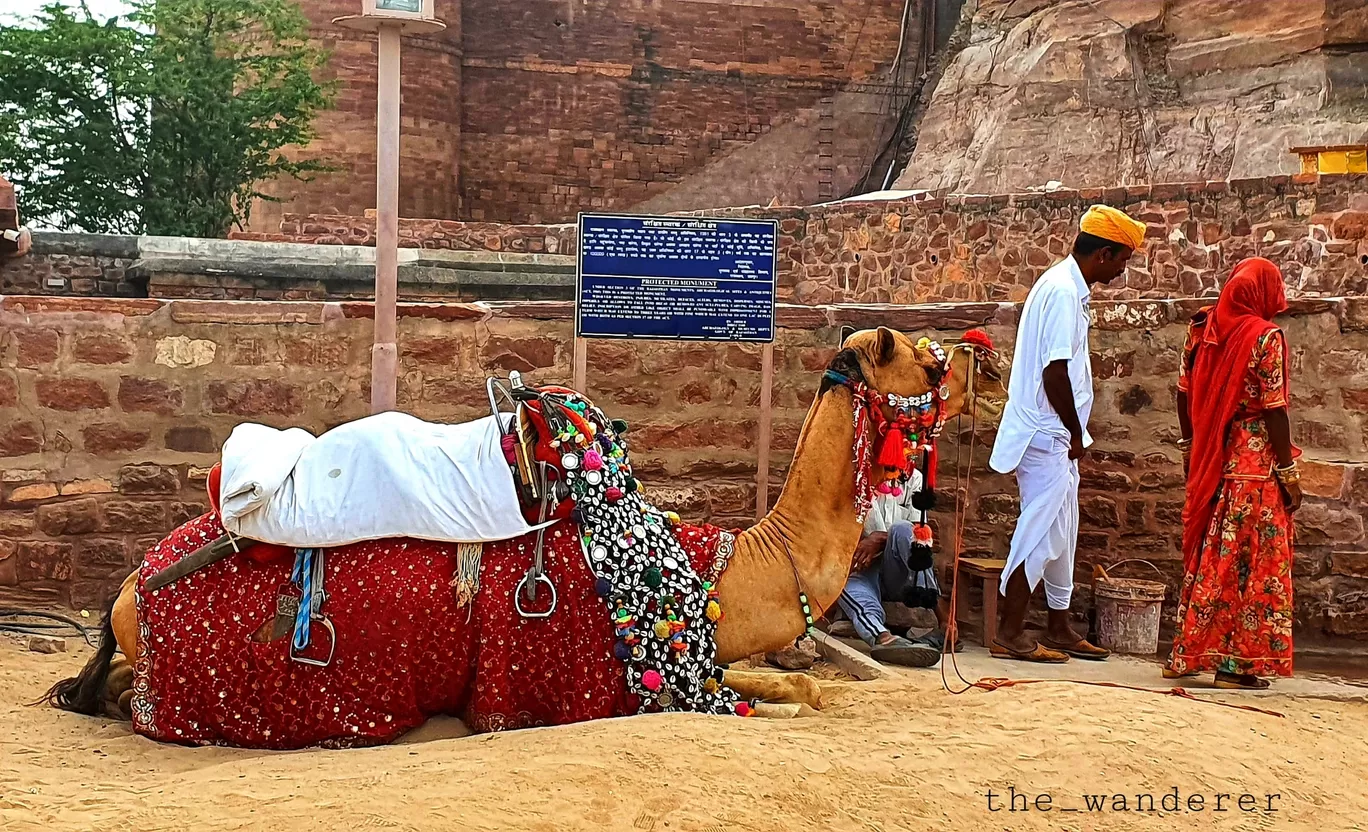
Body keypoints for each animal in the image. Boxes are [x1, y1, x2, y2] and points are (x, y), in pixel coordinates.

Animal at [45, 328, 1006, 749]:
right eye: (924, 358)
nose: (987, 361)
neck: (723, 568)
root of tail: (130, 583)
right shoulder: (632, 683)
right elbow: (779, 704)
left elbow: (804, 688)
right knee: (129, 697)